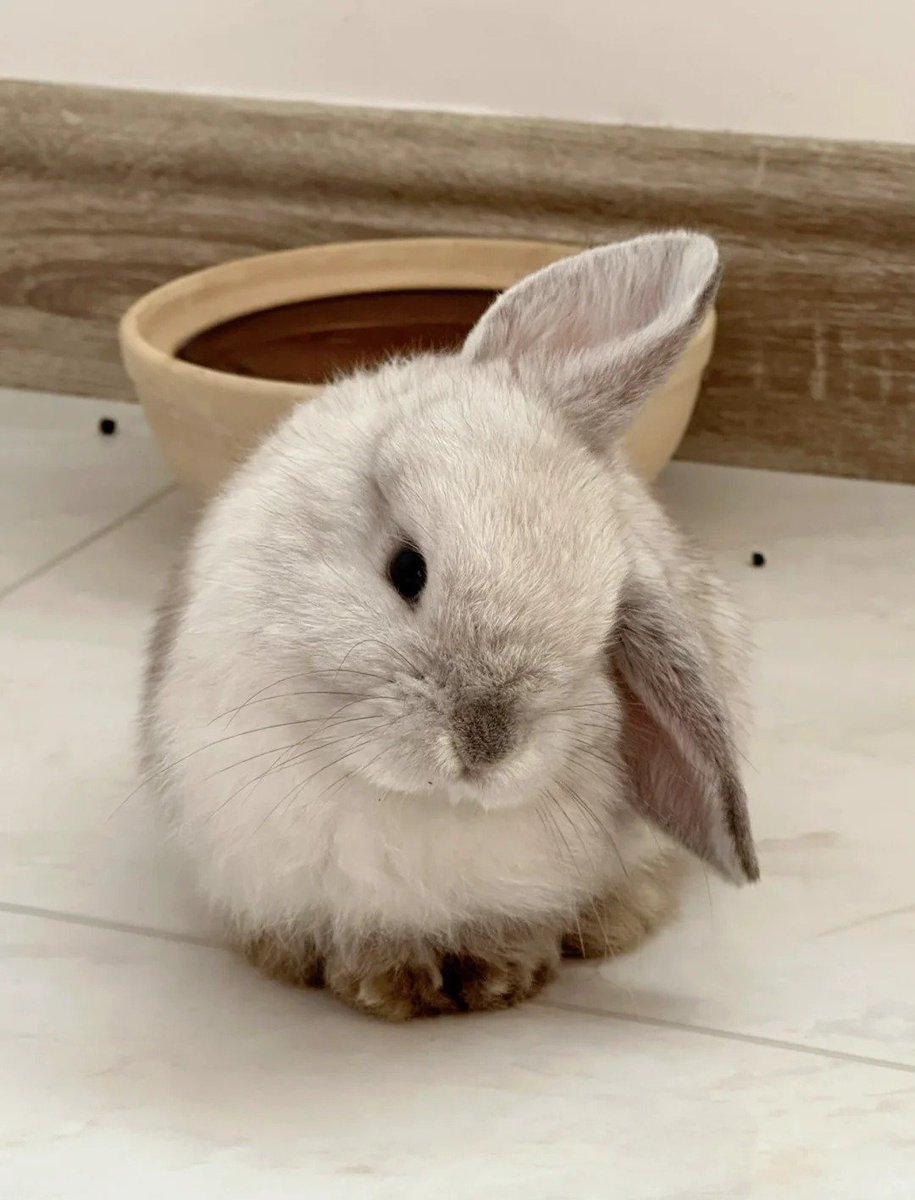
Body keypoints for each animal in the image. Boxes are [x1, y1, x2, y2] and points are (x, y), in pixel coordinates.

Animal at [142, 231, 758, 1021]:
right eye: (408, 569)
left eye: (603, 643)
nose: (485, 747)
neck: (408, 801)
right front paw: (388, 985)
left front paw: (497, 978)